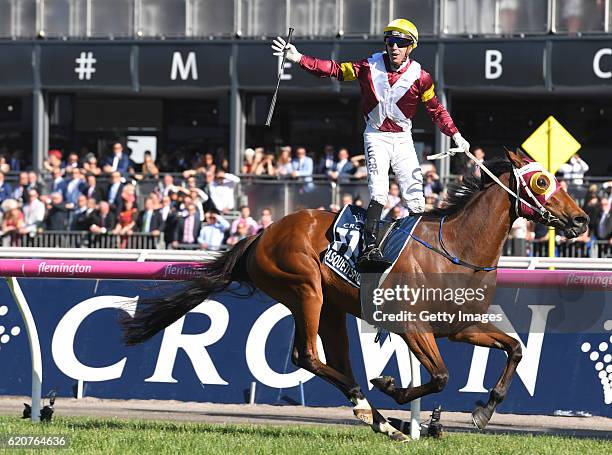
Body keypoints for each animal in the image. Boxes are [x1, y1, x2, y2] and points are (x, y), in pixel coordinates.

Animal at [123, 151, 588, 444]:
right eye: (542, 181)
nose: (581, 218)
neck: (457, 248)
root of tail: (261, 234)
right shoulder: (413, 326)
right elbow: (440, 376)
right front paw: (395, 387)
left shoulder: (460, 326)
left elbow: (516, 348)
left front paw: (483, 410)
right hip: (304, 289)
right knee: (307, 357)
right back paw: (378, 412)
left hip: (331, 308)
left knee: (337, 362)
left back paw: (383, 420)